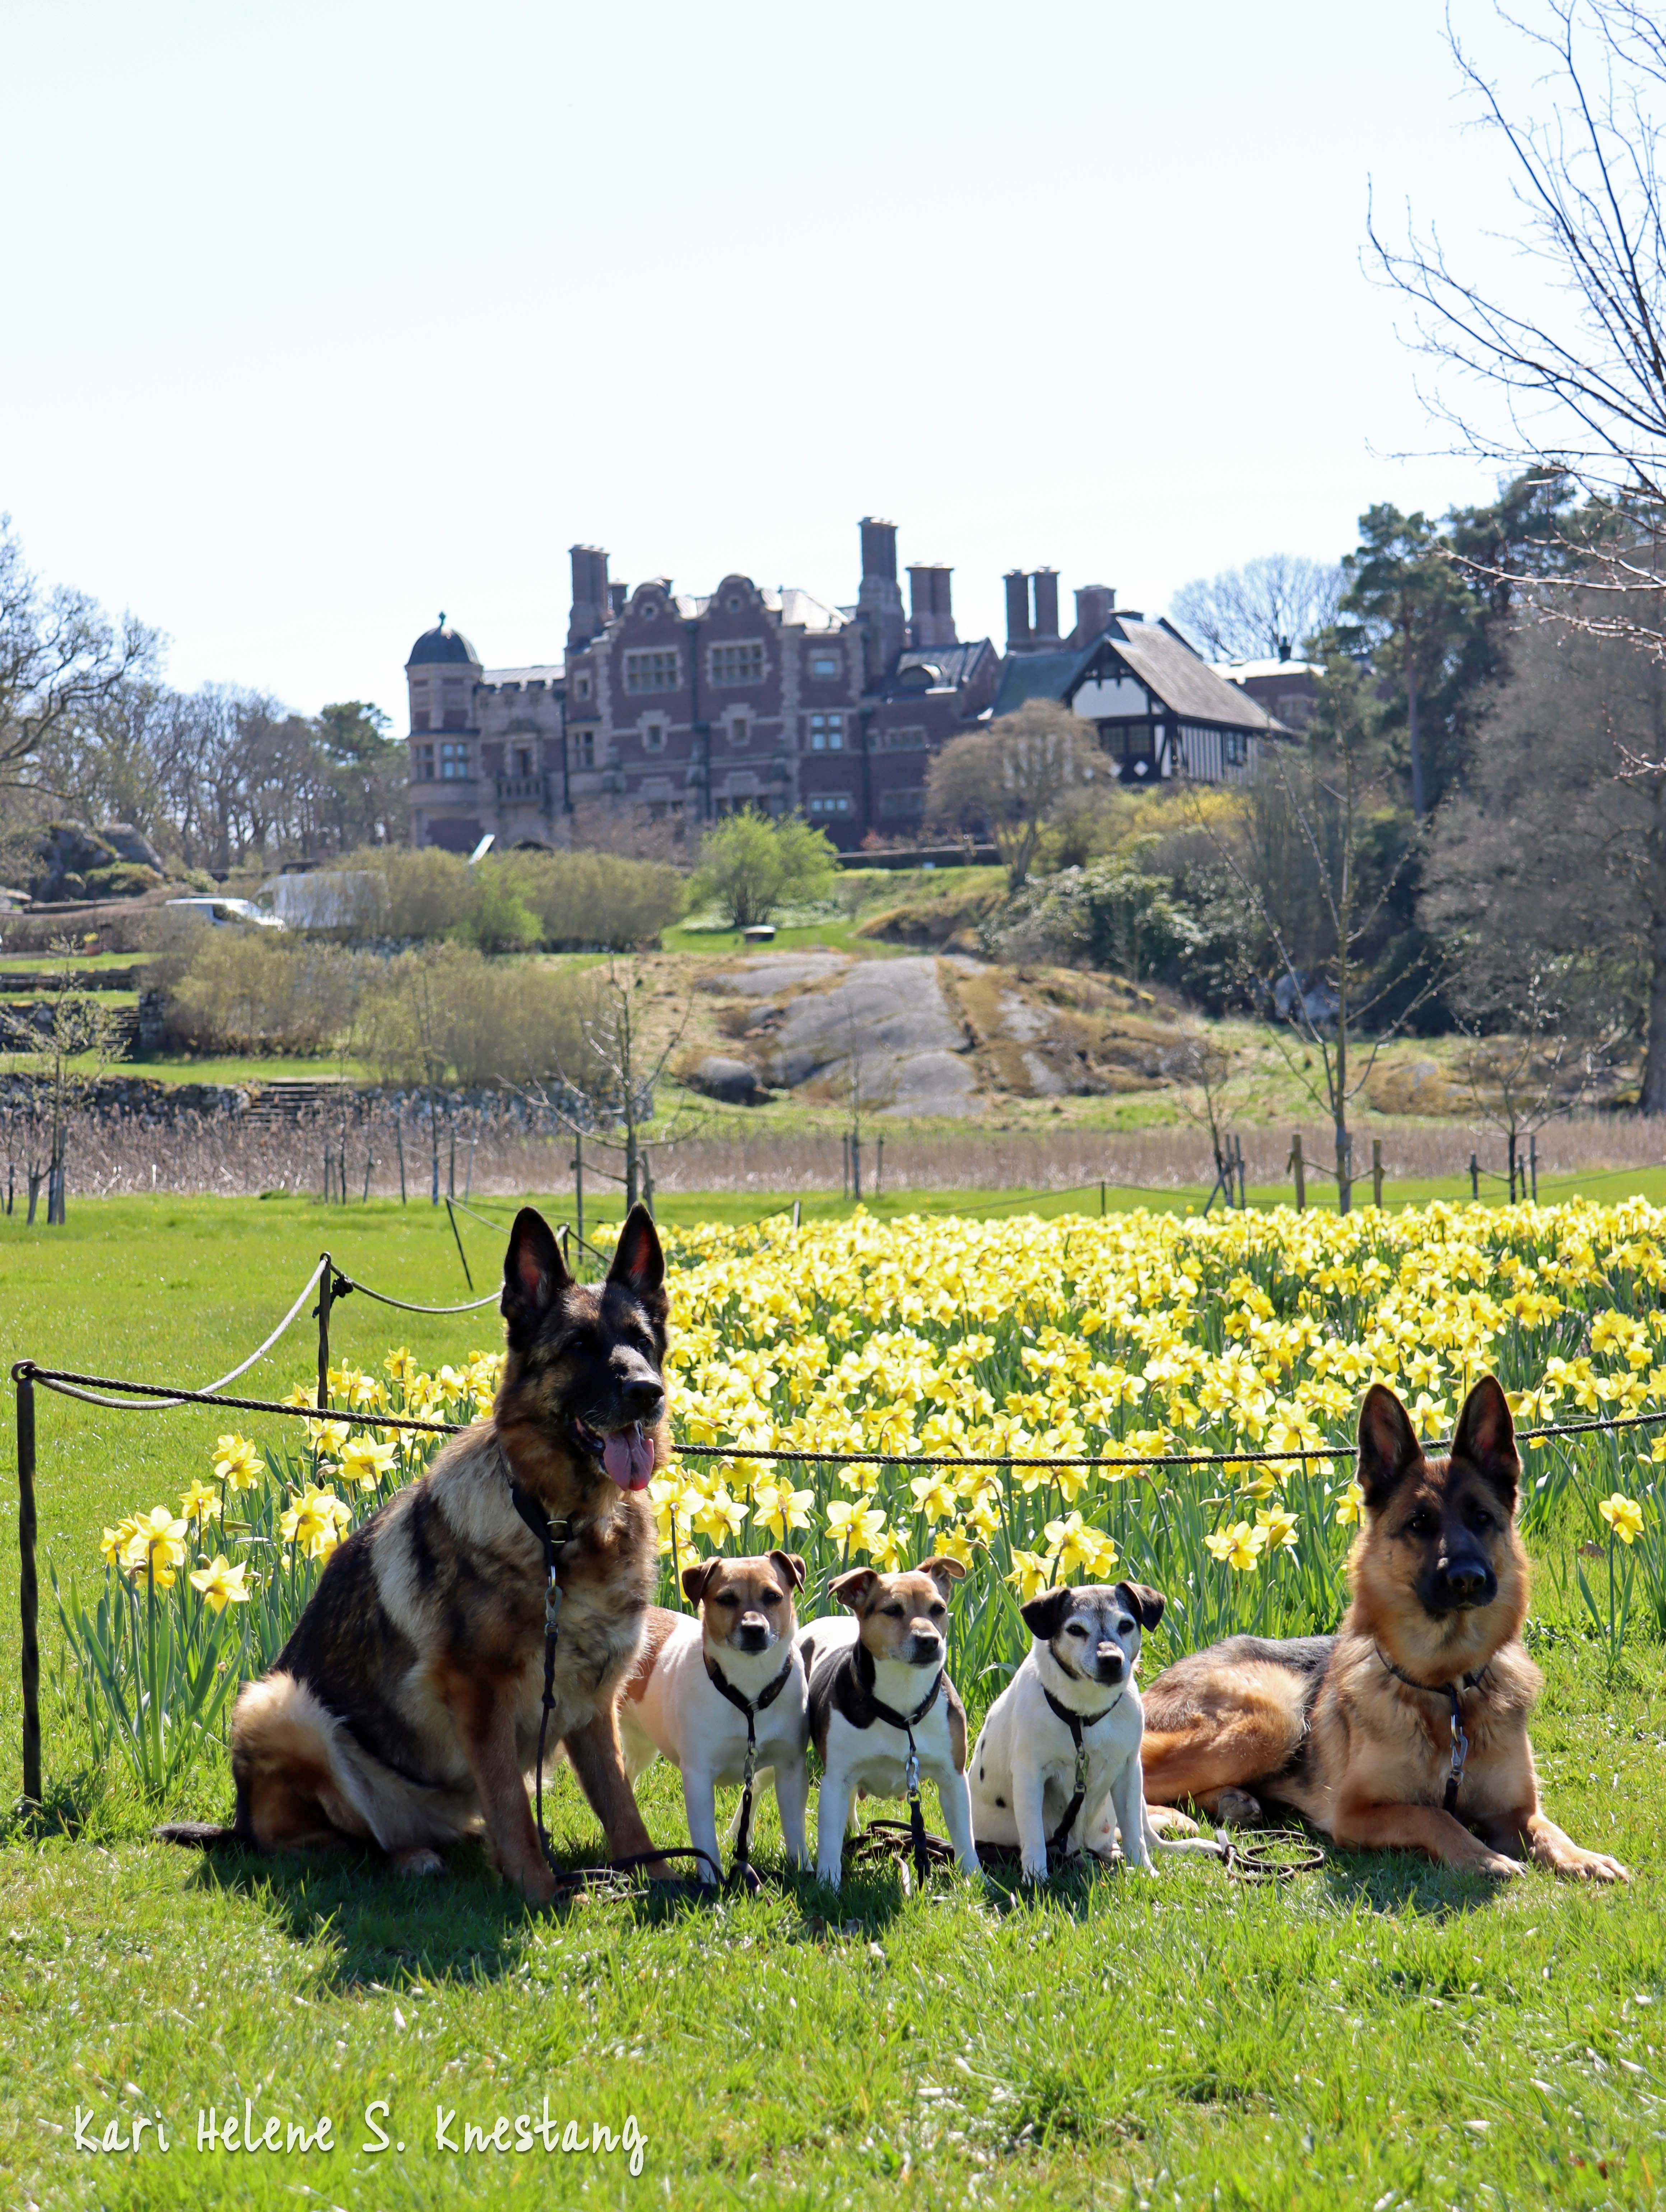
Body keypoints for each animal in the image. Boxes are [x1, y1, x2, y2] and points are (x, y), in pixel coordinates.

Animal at [160, 1204, 670, 1904]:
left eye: (641, 1342)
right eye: (579, 1347)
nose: (649, 1392)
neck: (561, 1529)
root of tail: (235, 1821)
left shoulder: (593, 1704)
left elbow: (623, 1808)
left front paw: (670, 1881)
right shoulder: (479, 1692)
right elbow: (512, 1803)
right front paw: (540, 1889)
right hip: (278, 1705)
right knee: (337, 1839)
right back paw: (409, 1857)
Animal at [619, 1551, 812, 1883]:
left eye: (773, 1596)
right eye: (726, 1599)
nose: (754, 1629)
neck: (748, 1693)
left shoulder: (789, 1768)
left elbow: (795, 1831)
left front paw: (808, 1873)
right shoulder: (698, 1775)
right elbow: (706, 1843)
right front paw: (712, 1884)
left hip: (642, 1746)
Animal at [800, 1558, 979, 1887]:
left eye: (938, 1608)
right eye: (893, 1610)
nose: (929, 1641)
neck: (902, 1708)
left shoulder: (953, 1777)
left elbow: (965, 1836)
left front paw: (977, 1881)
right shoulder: (835, 1779)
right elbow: (828, 1840)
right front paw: (828, 1886)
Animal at [971, 1581, 1168, 1881]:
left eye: (1126, 1625)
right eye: (1075, 1629)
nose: (1111, 1659)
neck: (1085, 1715)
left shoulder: (1129, 1771)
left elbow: (1135, 1832)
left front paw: (1144, 1870)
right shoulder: (1030, 1776)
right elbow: (1033, 1835)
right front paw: (1036, 1877)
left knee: (1150, 1836)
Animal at [1139, 1376, 1628, 1883]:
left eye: (1481, 1518)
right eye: (1419, 1523)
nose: (1469, 1579)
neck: (1446, 1690)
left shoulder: (1516, 1811)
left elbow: (1547, 1828)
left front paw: (1581, 1856)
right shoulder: (1354, 1815)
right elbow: (1432, 1815)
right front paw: (1480, 1855)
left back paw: (1230, 1801)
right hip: (1274, 1718)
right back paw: (1166, 1818)